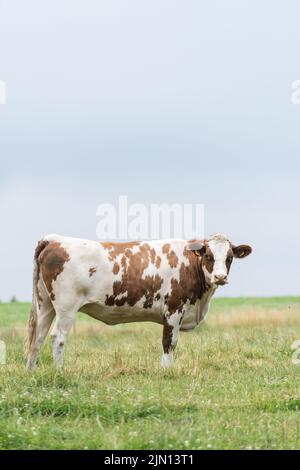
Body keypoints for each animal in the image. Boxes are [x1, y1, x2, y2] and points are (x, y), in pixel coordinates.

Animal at [25, 233, 252, 370]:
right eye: (209, 256)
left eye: (230, 257)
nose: (220, 277)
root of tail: (54, 239)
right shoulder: (174, 309)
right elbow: (169, 342)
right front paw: (167, 371)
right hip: (66, 306)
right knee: (58, 337)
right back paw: (59, 371)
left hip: (45, 304)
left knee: (37, 338)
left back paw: (31, 372)